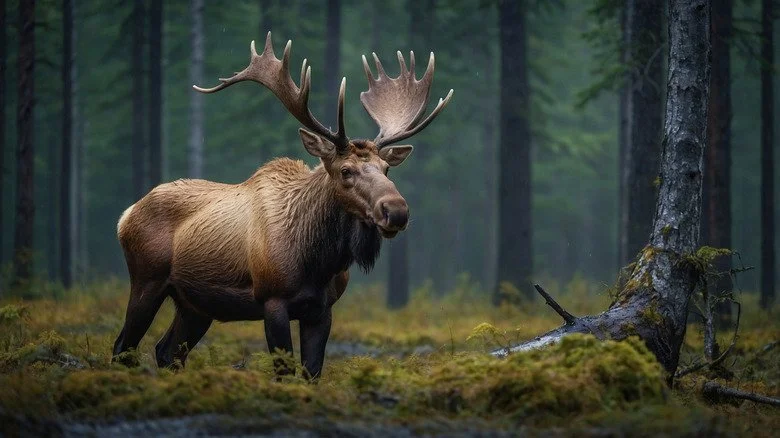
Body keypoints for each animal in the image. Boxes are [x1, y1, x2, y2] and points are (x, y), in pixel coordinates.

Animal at [112, 32, 453, 378]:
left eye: (386, 169)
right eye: (346, 171)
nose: (396, 210)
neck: (319, 261)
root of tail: (125, 216)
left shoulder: (322, 309)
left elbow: (312, 372)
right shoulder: (273, 300)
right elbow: (284, 372)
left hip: (195, 305)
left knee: (167, 351)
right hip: (147, 280)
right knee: (123, 346)